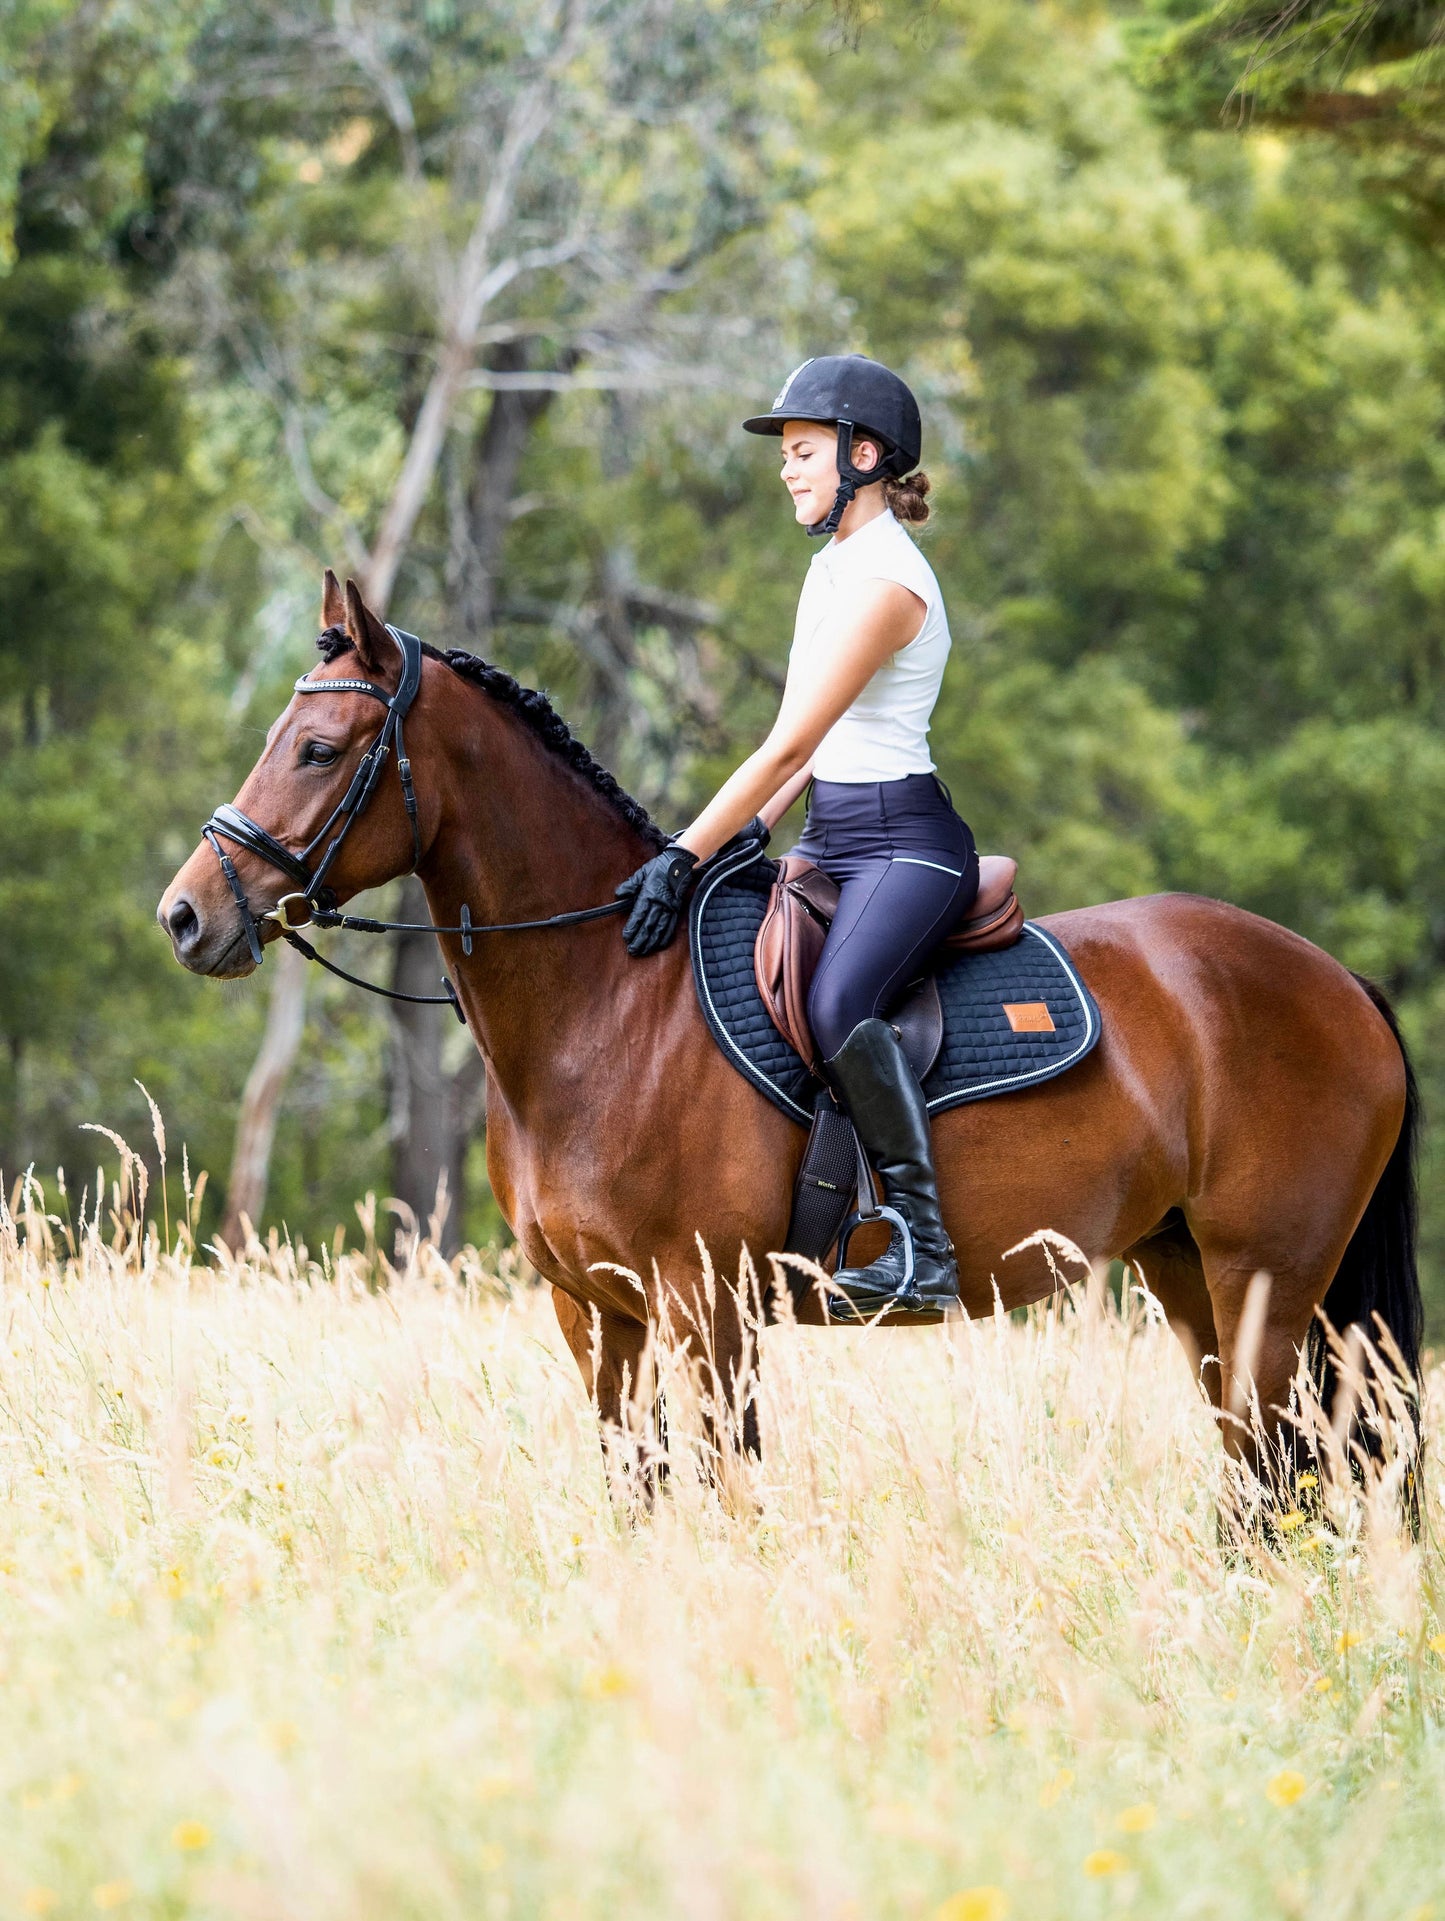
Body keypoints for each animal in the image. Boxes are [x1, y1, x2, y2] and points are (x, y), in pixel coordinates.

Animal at [157, 572, 1421, 1498]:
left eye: (318, 749)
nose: (186, 914)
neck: (604, 1006)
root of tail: (1337, 981)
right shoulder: (596, 1313)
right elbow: (638, 1489)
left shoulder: (701, 1305)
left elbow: (724, 1492)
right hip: (1186, 1272)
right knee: (1265, 1474)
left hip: (1266, 1282)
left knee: (1284, 1469)